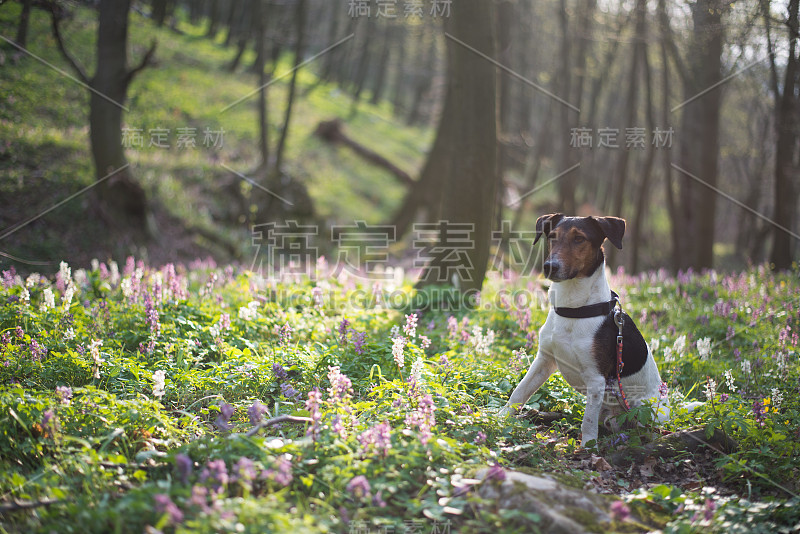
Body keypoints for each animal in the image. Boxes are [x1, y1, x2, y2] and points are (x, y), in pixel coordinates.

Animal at [500, 214, 668, 448]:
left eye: (579, 238)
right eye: (552, 237)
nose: (550, 266)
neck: (573, 309)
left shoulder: (596, 380)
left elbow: (588, 420)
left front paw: (588, 447)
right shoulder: (544, 361)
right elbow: (519, 392)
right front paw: (499, 417)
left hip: (644, 409)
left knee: (646, 430)